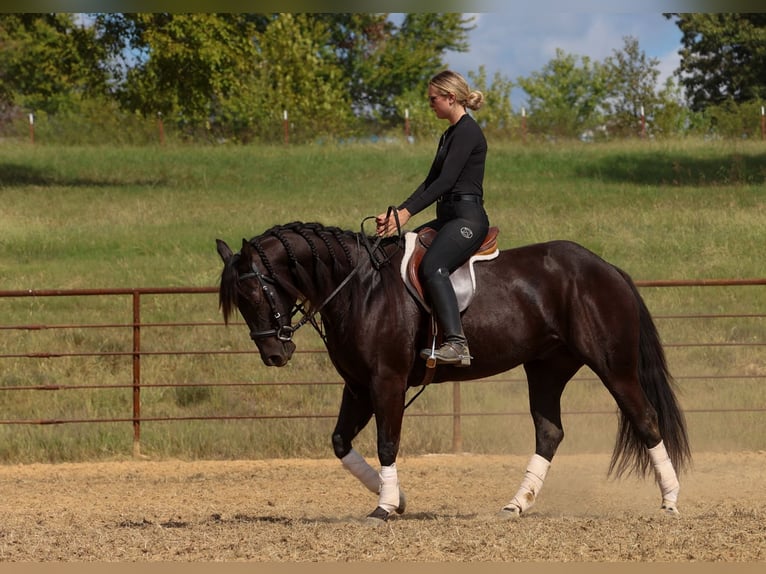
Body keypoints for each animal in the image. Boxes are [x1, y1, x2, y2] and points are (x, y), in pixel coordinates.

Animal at [216, 220, 691, 522]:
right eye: (239, 302)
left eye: (255, 292)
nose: (274, 353)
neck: (359, 287)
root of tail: (606, 268)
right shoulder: (358, 386)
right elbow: (340, 442)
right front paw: (397, 499)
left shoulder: (386, 381)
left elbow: (388, 443)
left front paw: (384, 508)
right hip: (546, 368)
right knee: (549, 431)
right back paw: (516, 505)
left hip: (613, 366)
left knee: (646, 420)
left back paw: (670, 502)